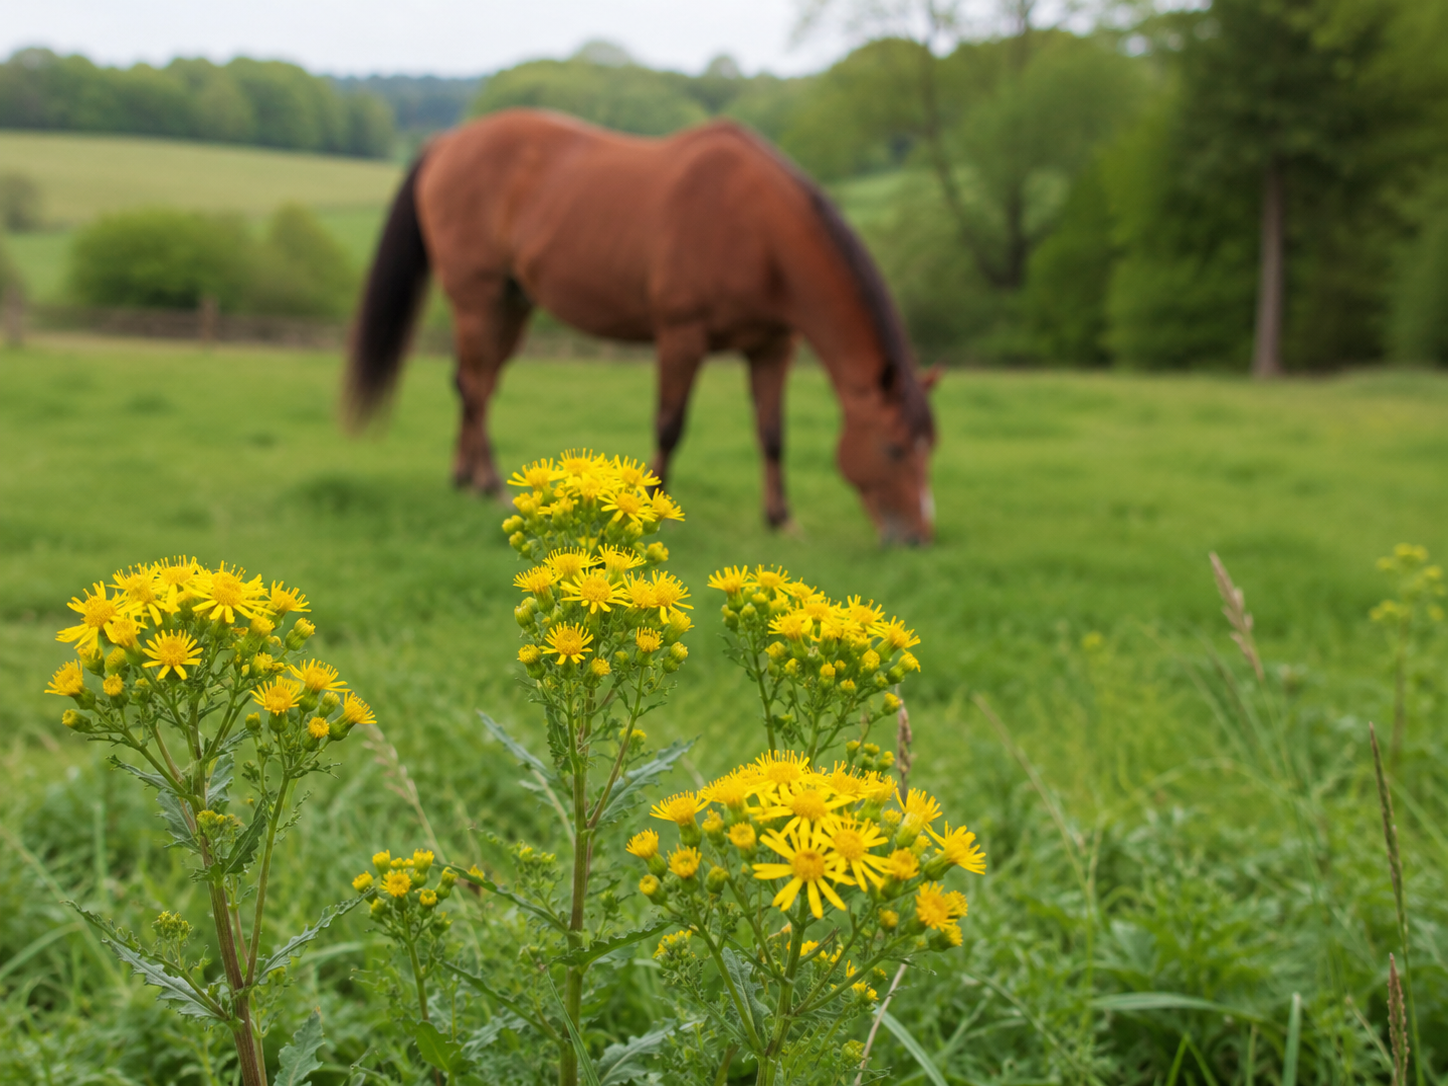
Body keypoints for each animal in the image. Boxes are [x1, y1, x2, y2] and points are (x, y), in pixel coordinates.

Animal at [345, 108, 939, 545]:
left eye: (929, 448)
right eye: (893, 449)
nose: (918, 537)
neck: (758, 231)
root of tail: (446, 142)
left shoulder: (773, 347)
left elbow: (772, 434)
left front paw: (781, 520)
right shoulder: (681, 336)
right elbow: (669, 425)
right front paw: (650, 510)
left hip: (511, 304)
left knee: (478, 382)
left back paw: (465, 477)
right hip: (477, 297)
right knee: (473, 386)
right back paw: (487, 483)